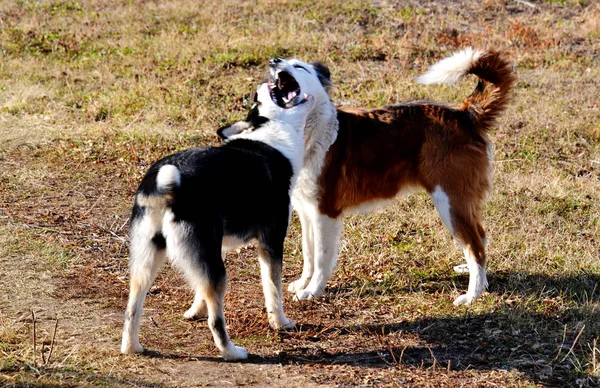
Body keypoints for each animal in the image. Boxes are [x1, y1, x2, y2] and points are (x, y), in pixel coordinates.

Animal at [119, 82, 312, 360]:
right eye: (259, 100)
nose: (264, 84)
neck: (270, 136)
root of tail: (163, 185)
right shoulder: (271, 244)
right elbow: (273, 291)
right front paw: (280, 323)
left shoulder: (213, 250)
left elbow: (200, 289)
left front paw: (195, 311)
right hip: (218, 272)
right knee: (217, 322)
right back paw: (232, 352)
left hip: (148, 262)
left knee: (132, 309)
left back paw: (132, 347)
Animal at [223, 49, 512, 306]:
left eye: (299, 66)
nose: (274, 60)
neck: (310, 129)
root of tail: (464, 114)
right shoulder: (306, 212)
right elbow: (309, 255)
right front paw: (303, 283)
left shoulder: (325, 214)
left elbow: (321, 259)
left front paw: (313, 291)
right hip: (458, 203)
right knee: (479, 238)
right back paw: (475, 278)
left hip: (450, 201)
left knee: (476, 246)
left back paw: (472, 295)